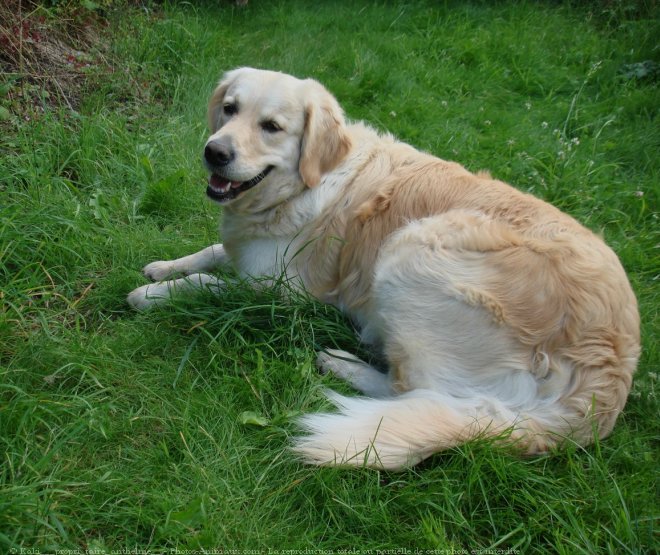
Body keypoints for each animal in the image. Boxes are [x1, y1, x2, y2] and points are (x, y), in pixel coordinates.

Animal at [127, 67, 640, 472]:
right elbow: (213, 251)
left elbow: (209, 283)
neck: (304, 186)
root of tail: (603, 387)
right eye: (230, 109)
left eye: (271, 127)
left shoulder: (283, 291)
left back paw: (341, 362)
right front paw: (163, 266)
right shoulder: (249, 253)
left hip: (412, 249)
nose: (215, 152)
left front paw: (151, 295)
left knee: (407, 390)